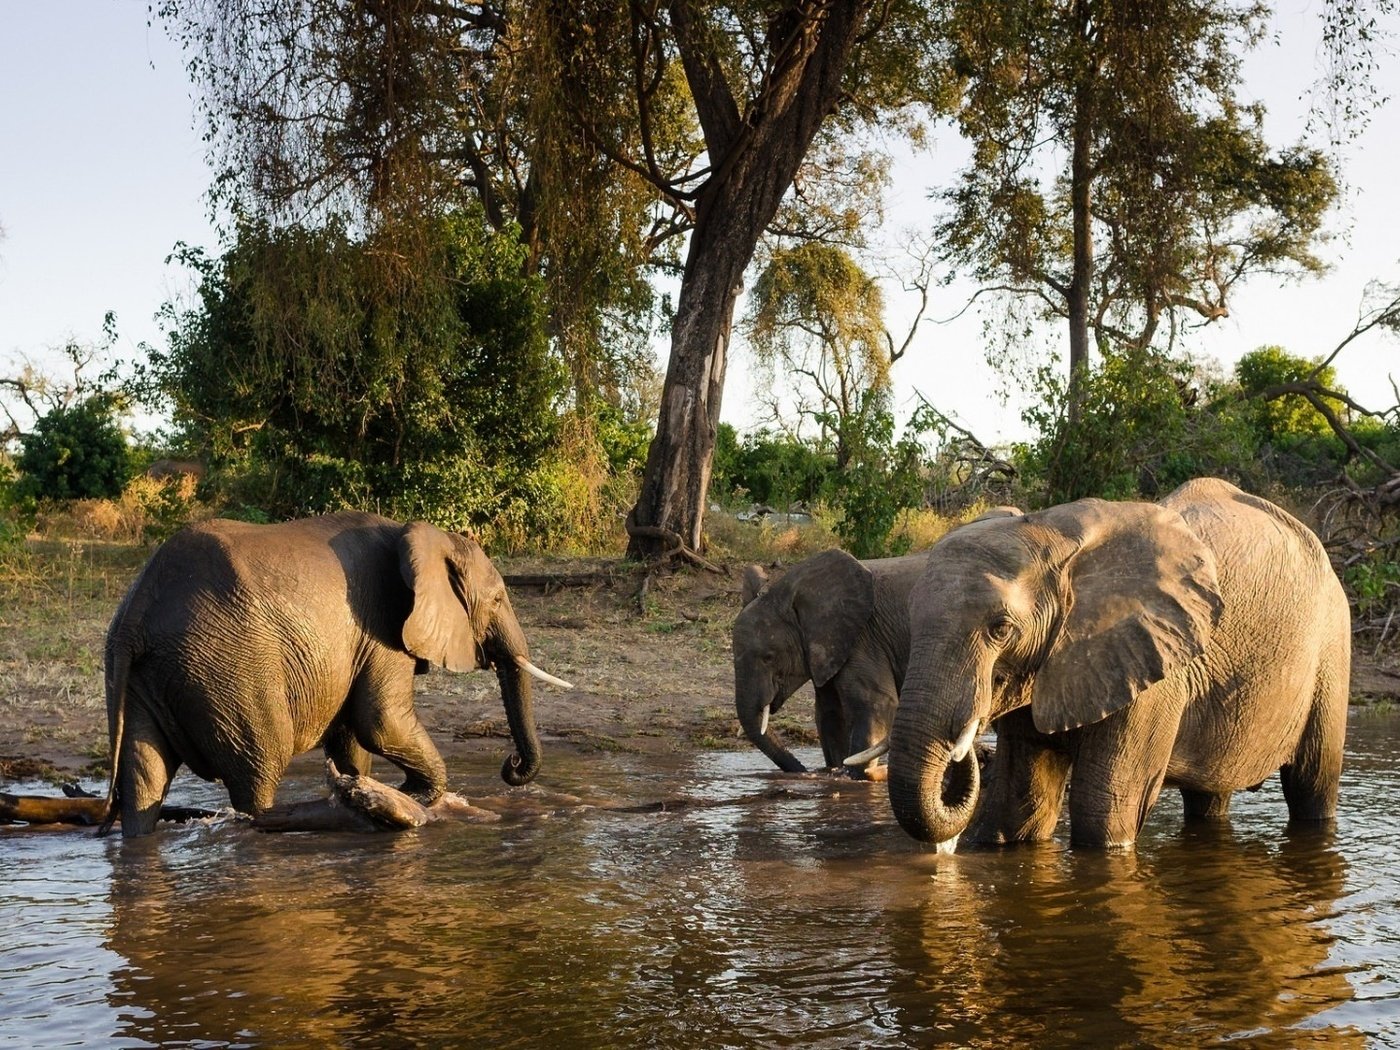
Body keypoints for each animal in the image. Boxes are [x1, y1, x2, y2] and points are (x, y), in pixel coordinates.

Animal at [101, 509, 574, 840]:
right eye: (496, 600)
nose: (511, 764)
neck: (422, 537)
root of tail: (137, 615)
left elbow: (352, 737)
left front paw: (373, 789)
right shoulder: (384, 623)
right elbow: (380, 722)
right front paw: (412, 795)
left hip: (142, 672)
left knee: (144, 780)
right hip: (228, 669)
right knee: (259, 770)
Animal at [733, 509, 1019, 784]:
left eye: (769, 657)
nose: (803, 771)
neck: (790, 589)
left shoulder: (862, 638)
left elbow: (874, 703)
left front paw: (858, 776)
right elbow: (829, 713)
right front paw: (835, 772)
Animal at [879, 481, 1349, 851]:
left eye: (1000, 629)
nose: (969, 750)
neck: (1051, 531)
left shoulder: (1154, 673)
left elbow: (1101, 811)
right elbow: (1019, 807)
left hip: (1332, 646)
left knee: (1312, 784)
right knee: (1208, 795)